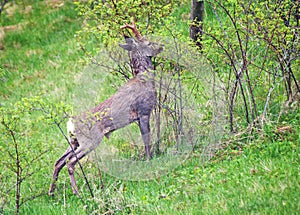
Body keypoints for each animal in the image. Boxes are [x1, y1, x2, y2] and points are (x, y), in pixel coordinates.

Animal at [48, 20, 163, 197]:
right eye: (149, 42)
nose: (161, 46)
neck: (144, 80)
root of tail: (70, 123)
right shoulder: (143, 112)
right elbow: (146, 139)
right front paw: (149, 160)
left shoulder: (138, 118)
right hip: (90, 139)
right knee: (69, 161)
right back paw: (77, 192)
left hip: (74, 141)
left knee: (58, 161)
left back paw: (52, 192)